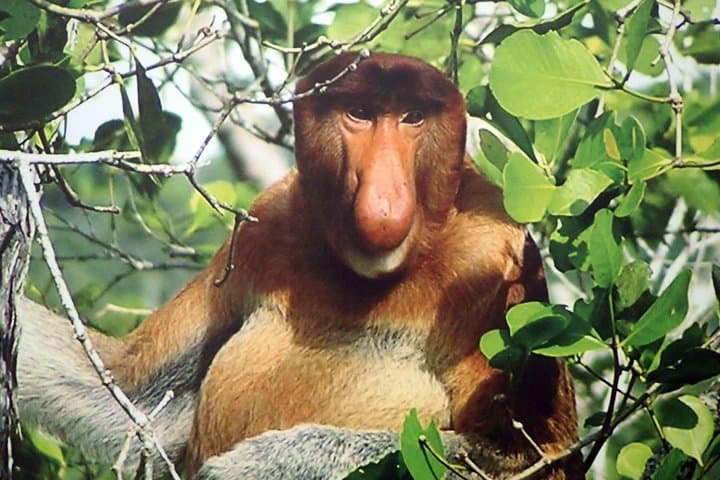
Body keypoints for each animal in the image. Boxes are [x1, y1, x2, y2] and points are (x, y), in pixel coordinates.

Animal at [15, 52, 581, 479]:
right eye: (359, 112)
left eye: (413, 118)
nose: (384, 199)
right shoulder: (265, 227)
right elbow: (131, 392)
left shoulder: (497, 260)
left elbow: (530, 457)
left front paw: (258, 465)